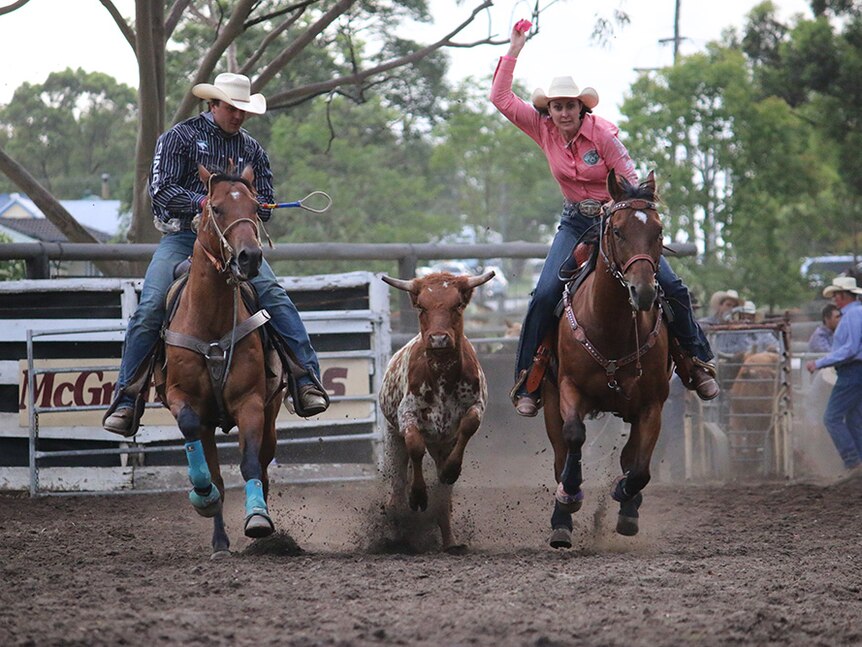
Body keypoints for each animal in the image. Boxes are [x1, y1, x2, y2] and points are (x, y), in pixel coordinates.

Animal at [157, 162, 286, 556]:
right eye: (215, 208)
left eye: (255, 206)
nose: (250, 257)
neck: (210, 323)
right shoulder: (183, 400)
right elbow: (197, 445)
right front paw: (205, 497)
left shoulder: (252, 403)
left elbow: (249, 465)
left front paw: (258, 519)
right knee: (213, 465)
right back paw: (218, 538)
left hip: (270, 415)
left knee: (262, 463)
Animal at [544, 170, 672, 548]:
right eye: (617, 230)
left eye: (658, 231)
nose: (643, 292)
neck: (611, 326)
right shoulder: (569, 388)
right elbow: (574, 435)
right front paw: (570, 496)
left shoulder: (652, 404)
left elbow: (640, 469)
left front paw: (624, 496)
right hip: (548, 400)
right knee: (560, 454)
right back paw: (561, 519)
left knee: (631, 456)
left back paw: (628, 507)